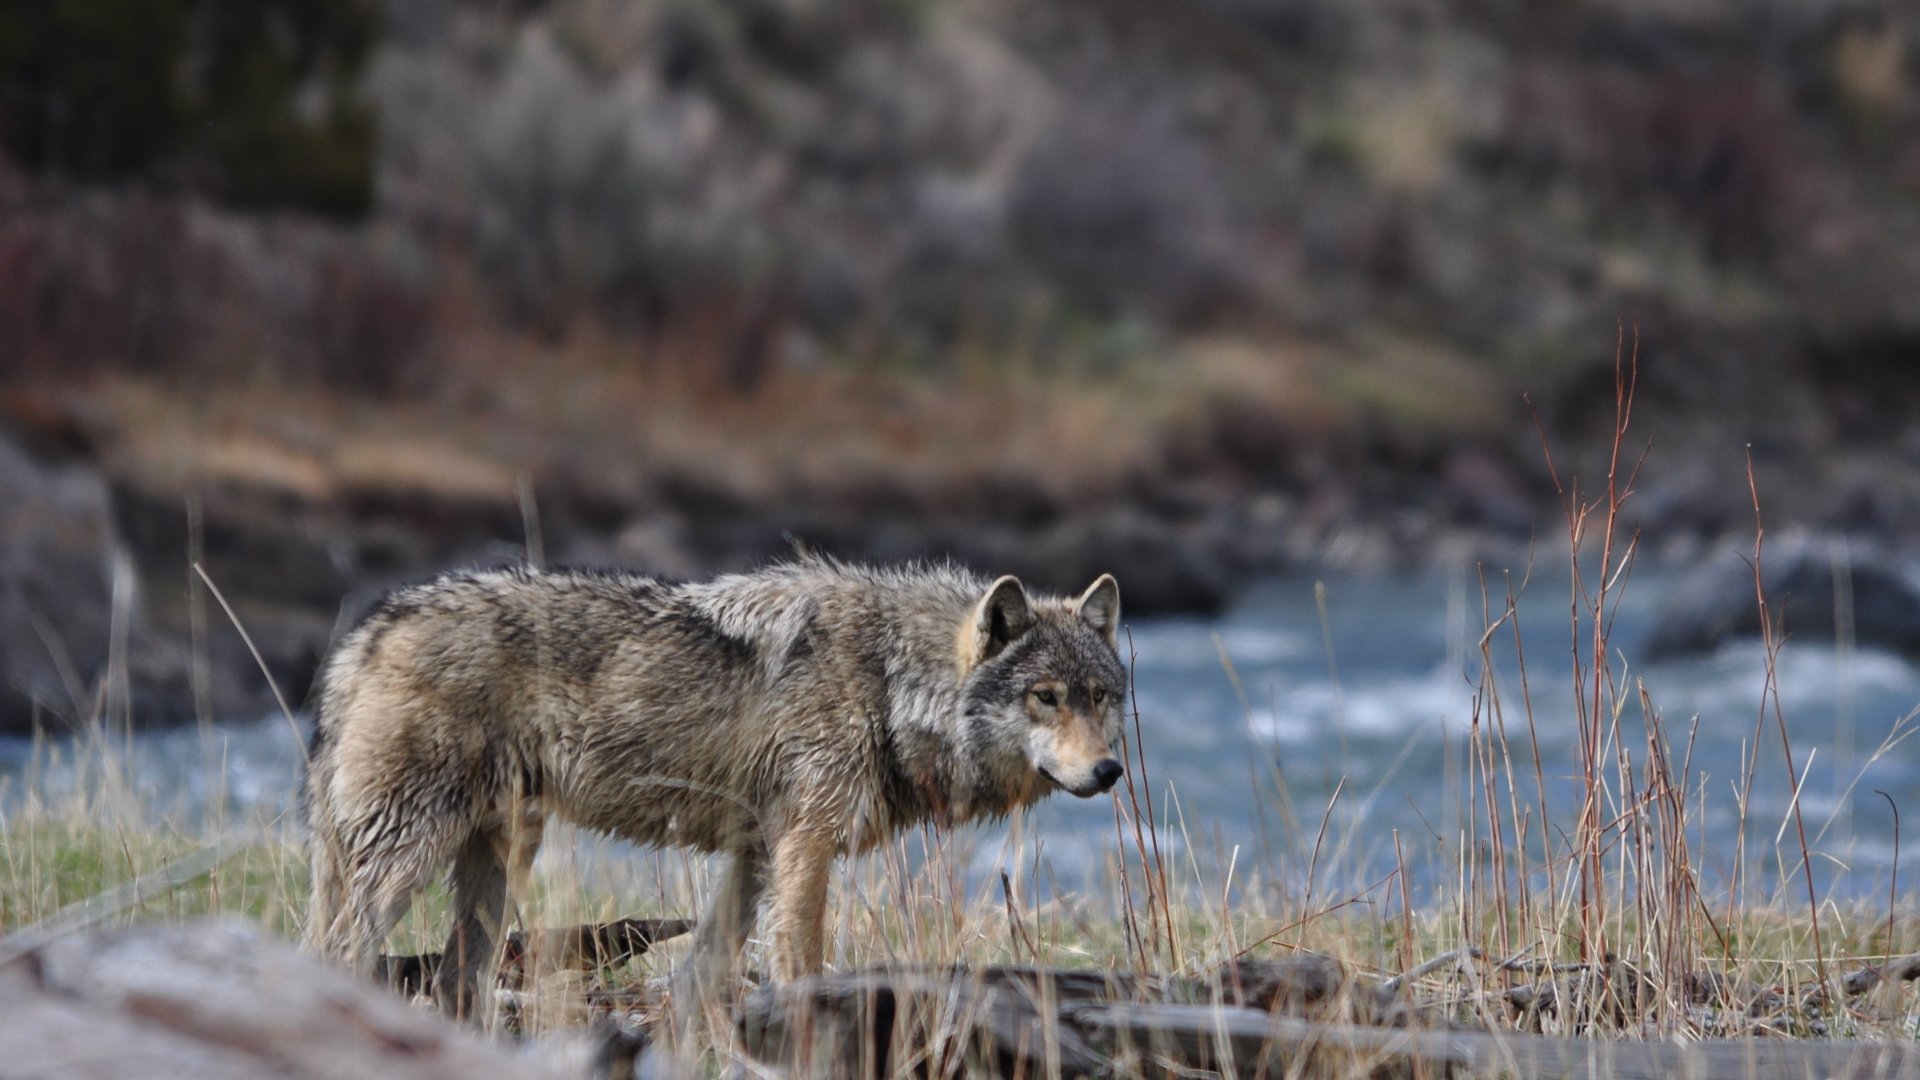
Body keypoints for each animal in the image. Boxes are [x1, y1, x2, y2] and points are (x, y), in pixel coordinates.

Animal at [301, 558, 1128, 1018]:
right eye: (1046, 698)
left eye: (1101, 697)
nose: (1109, 771)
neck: (891, 683)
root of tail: (366, 635)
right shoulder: (804, 848)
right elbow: (800, 965)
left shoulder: (756, 856)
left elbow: (700, 979)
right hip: (409, 857)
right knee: (338, 955)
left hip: (495, 865)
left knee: (451, 984)